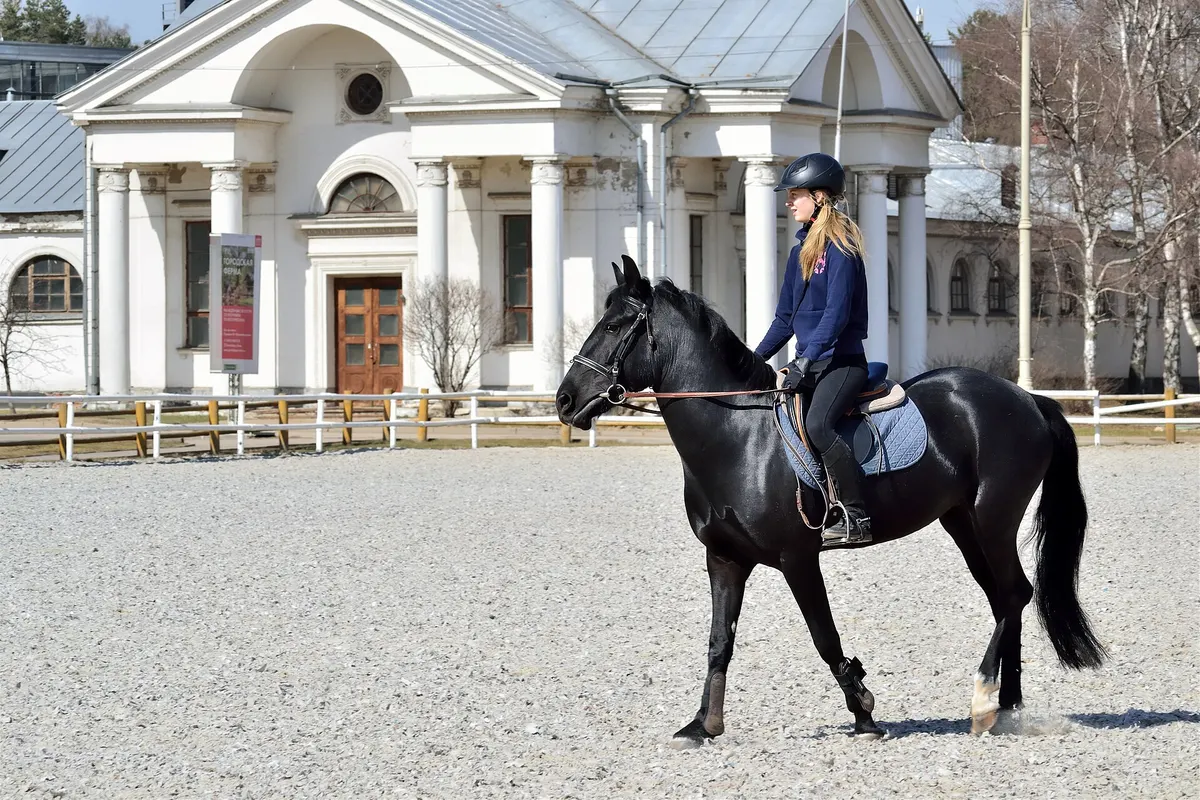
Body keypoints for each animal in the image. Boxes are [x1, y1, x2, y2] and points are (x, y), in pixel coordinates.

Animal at [554, 255, 1106, 745]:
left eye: (614, 325)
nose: (564, 400)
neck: (737, 436)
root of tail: (1027, 399)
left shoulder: (797, 559)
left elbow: (824, 638)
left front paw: (864, 713)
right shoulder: (725, 558)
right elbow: (718, 642)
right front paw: (702, 726)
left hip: (993, 519)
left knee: (1014, 595)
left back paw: (985, 702)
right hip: (963, 524)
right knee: (1004, 600)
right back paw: (1005, 708)